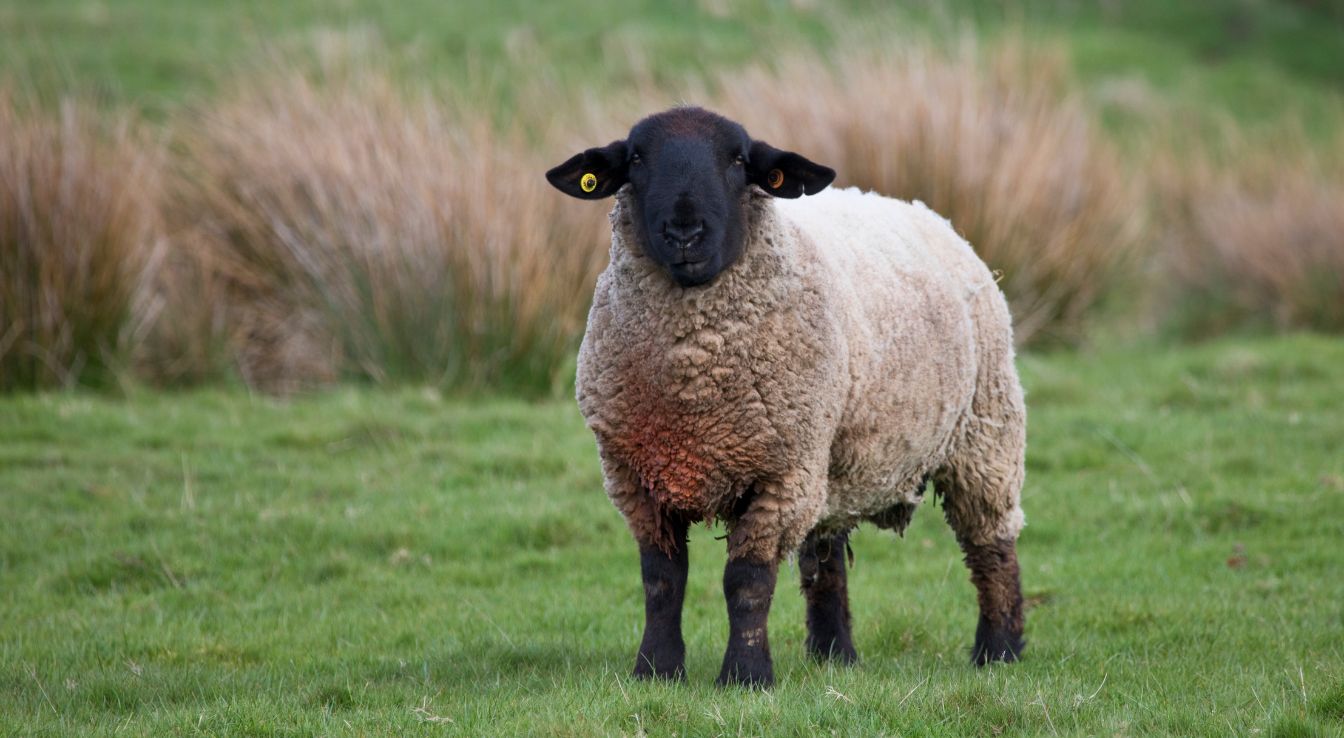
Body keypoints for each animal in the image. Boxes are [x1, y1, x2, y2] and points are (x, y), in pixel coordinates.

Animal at [545, 106, 1026, 688]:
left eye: (738, 160)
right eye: (636, 159)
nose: (685, 232)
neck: (692, 384)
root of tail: (923, 211)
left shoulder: (781, 472)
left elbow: (747, 580)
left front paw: (746, 676)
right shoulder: (635, 476)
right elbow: (662, 579)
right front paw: (656, 670)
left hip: (983, 432)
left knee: (991, 545)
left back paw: (999, 651)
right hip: (832, 457)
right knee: (827, 550)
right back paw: (834, 654)